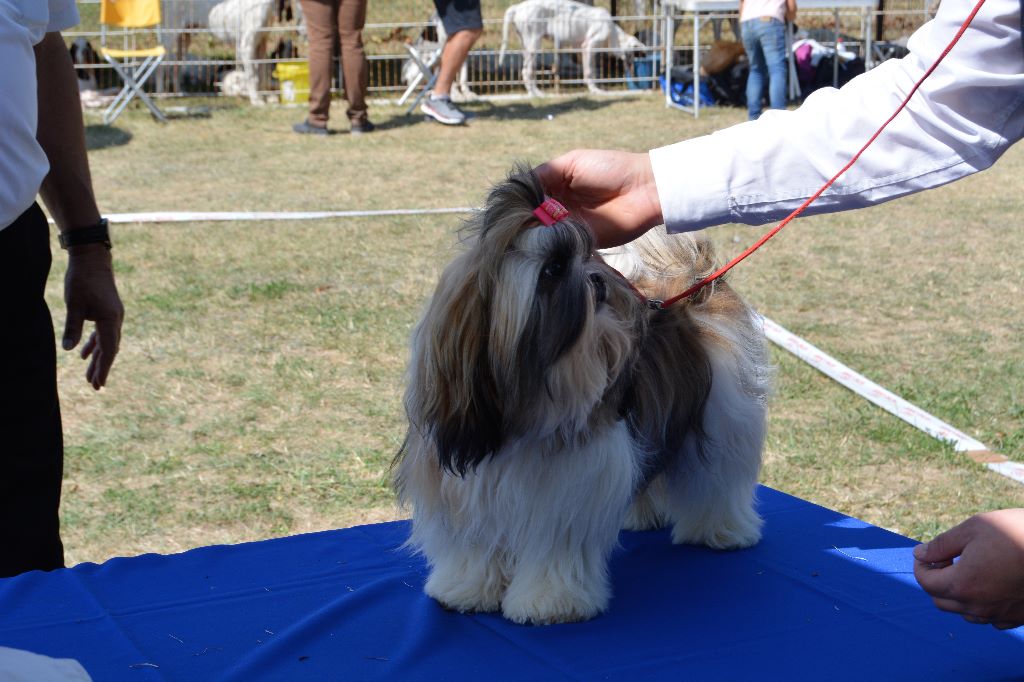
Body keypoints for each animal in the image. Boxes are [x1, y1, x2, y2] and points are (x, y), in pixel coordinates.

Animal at [395, 163, 770, 622]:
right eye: (554, 269)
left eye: (590, 254)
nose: (597, 279)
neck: (527, 407)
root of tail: (693, 281)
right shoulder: (466, 490)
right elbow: (474, 549)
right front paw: (465, 590)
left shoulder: (566, 498)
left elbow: (553, 552)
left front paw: (549, 602)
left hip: (725, 416)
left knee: (719, 479)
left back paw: (723, 530)